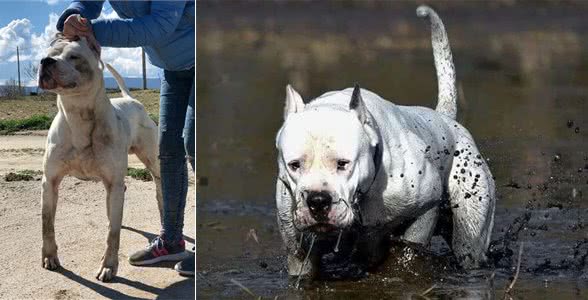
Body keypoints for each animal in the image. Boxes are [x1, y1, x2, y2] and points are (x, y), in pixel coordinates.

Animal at [38, 34, 161, 282]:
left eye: (74, 56)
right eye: (48, 54)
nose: (45, 62)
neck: (77, 116)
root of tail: (131, 100)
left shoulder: (114, 182)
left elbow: (112, 235)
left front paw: (109, 266)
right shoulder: (50, 182)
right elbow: (47, 223)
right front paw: (49, 256)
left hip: (152, 162)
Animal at [276, 4, 496, 278]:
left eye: (343, 163)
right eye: (294, 165)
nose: (318, 200)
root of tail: (445, 119)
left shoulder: (425, 207)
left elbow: (412, 242)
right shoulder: (299, 252)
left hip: (470, 231)